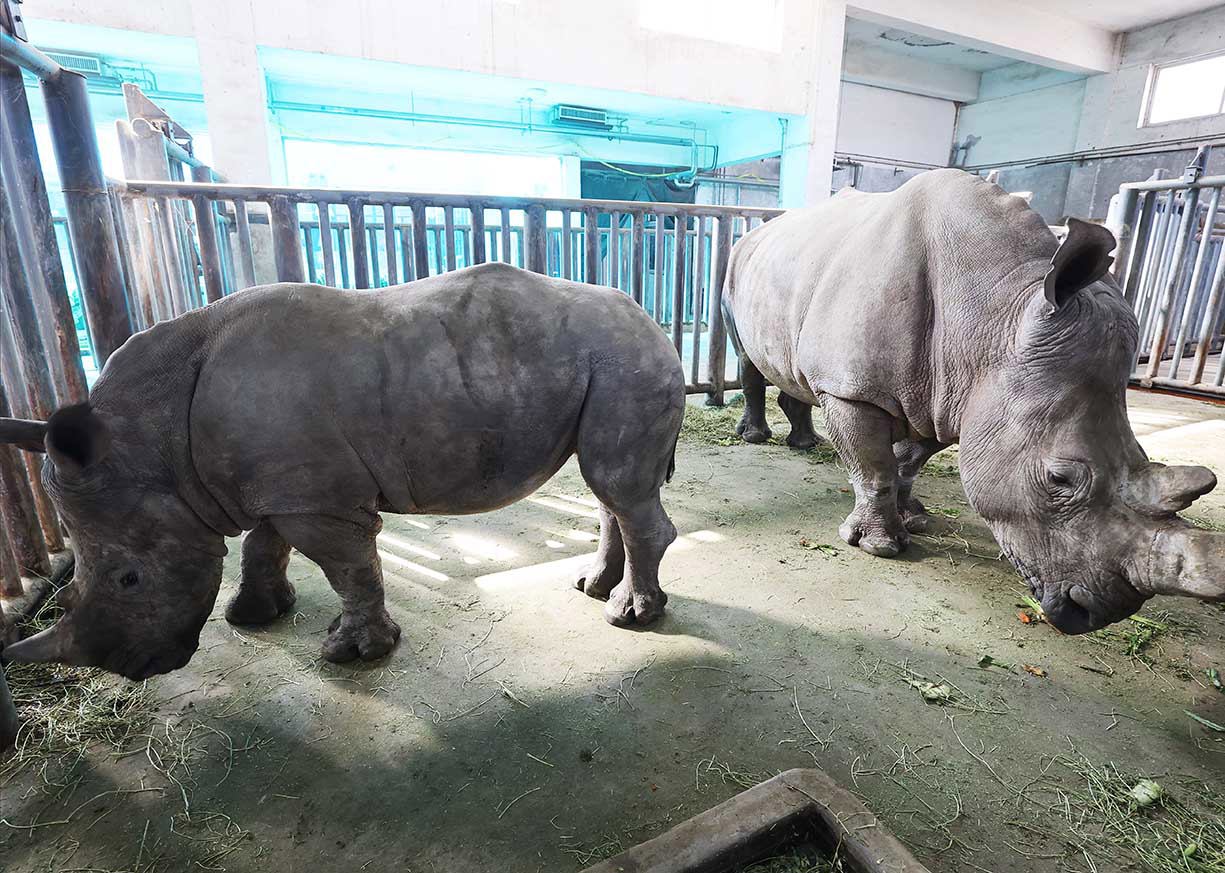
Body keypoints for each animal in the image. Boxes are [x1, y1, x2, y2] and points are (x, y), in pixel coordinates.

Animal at [0, 262, 684, 679]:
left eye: (130, 580)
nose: (135, 669)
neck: (154, 441)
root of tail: (651, 319)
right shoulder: (276, 485)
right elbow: (262, 545)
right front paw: (254, 615)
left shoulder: (314, 499)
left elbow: (348, 567)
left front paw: (352, 654)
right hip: (605, 360)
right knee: (609, 484)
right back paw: (594, 588)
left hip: (625, 361)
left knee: (617, 484)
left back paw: (629, 616)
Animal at [722, 169, 1223, 634]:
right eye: (1058, 478)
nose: (1098, 614)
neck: (996, 312)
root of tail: (762, 228)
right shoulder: (853, 391)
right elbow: (875, 468)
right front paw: (879, 547)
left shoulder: (951, 396)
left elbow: (909, 461)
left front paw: (916, 519)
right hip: (734, 266)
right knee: (746, 355)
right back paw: (756, 438)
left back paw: (805, 444)